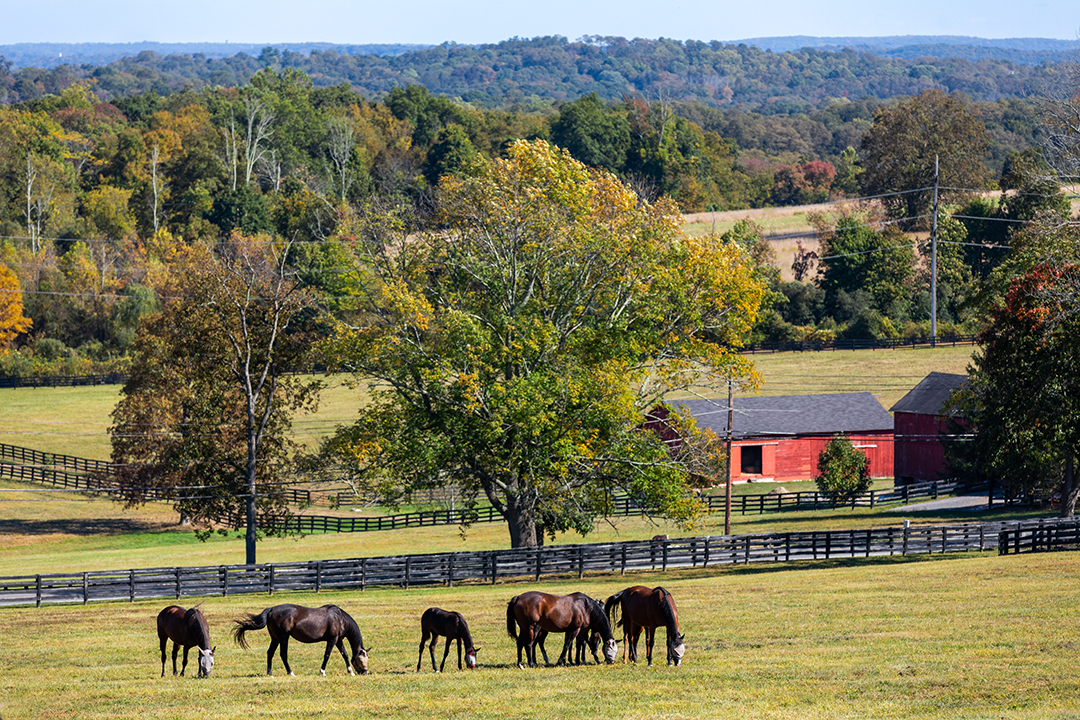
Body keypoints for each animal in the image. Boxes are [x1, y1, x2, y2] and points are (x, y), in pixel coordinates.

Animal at [232, 603, 369, 676]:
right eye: (362, 659)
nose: (365, 672)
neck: (340, 618)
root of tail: (271, 610)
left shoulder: (338, 640)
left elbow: (344, 654)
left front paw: (350, 671)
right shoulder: (332, 640)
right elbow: (327, 655)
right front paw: (322, 671)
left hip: (275, 638)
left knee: (270, 653)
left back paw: (270, 673)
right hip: (283, 637)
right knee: (283, 654)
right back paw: (290, 672)